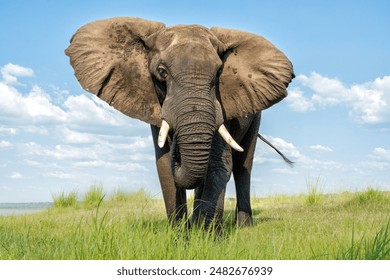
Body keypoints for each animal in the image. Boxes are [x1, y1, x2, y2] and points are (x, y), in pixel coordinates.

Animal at [65, 17, 294, 228]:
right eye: (162, 72)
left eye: (219, 73)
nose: (177, 145)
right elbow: (165, 166)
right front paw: (180, 237)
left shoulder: (222, 109)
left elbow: (219, 164)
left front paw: (205, 238)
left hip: (256, 116)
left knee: (242, 167)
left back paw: (243, 226)